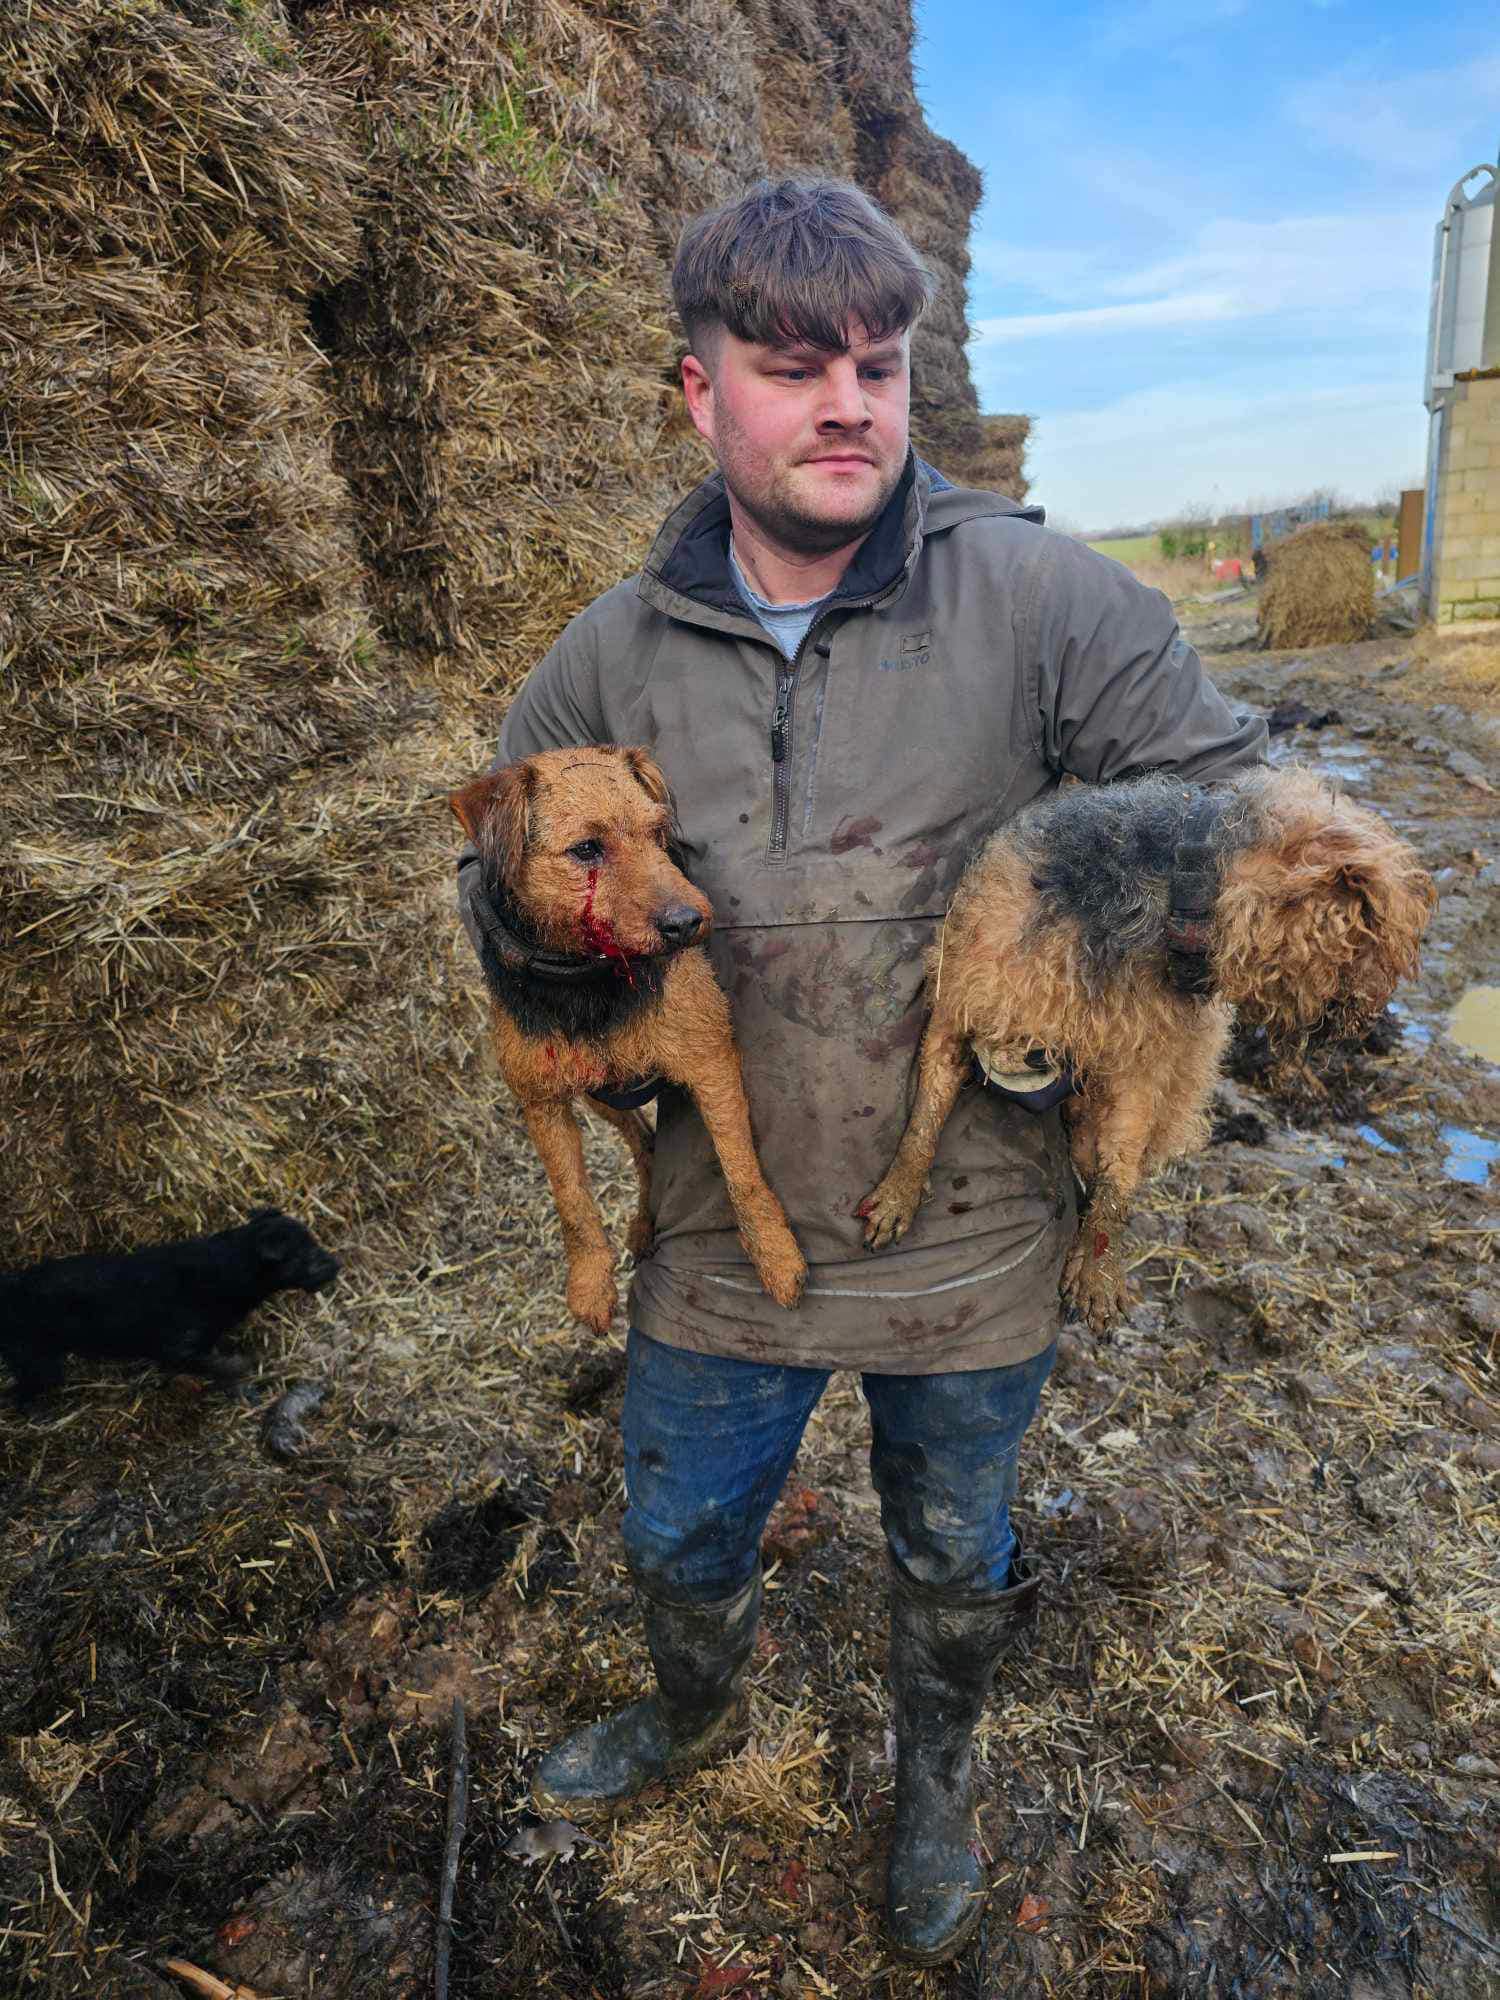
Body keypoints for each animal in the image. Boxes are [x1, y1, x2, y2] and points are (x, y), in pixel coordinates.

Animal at [0, 1200, 340, 1408]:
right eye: (306, 1252)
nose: (338, 1264)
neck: (229, 1271)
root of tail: (12, 1287)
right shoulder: (178, 1346)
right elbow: (221, 1365)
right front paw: (245, 1371)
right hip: (35, 1358)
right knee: (25, 1390)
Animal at [452, 744, 812, 1336]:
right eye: (586, 849)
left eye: (658, 832)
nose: (688, 922)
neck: (592, 985)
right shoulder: (541, 1100)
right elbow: (571, 1200)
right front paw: (589, 1285)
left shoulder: (711, 1061)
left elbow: (742, 1172)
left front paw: (776, 1257)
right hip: (600, 1096)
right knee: (642, 1144)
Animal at [856, 764, 1432, 1328]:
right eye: (1377, 935)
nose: (1369, 1017)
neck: (1181, 894)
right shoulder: (963, 994)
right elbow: (926, 1115)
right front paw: (896, 1197)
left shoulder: (1141, 1061)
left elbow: (1121, 1169)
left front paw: (1099, 1274)